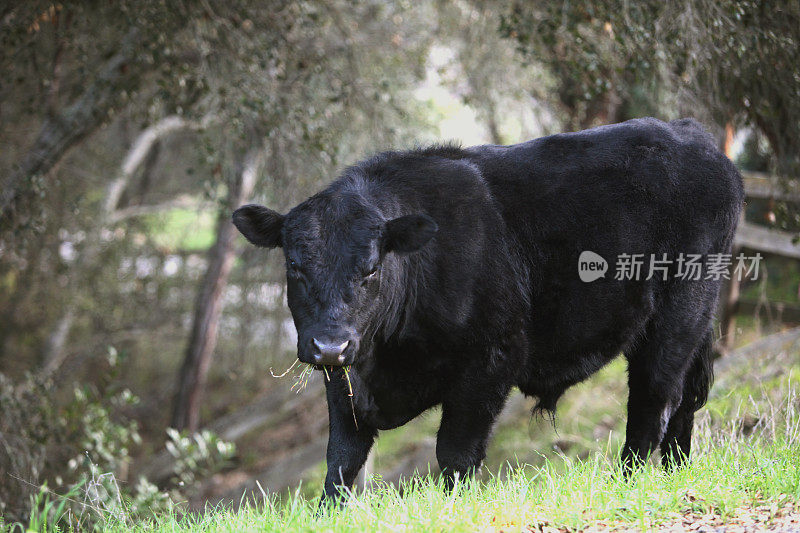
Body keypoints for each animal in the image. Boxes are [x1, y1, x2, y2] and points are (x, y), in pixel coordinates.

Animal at [231, 116, 744, 502]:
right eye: (294, 265)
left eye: (372, 268)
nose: (330, 345)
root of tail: (689, 133)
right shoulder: (346, 383)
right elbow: (341, 462)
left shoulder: (491, 360)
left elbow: (455, 454)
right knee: (685, 403)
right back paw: (675, 475)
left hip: (680, 313)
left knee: (654, 403)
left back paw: (627, 485)